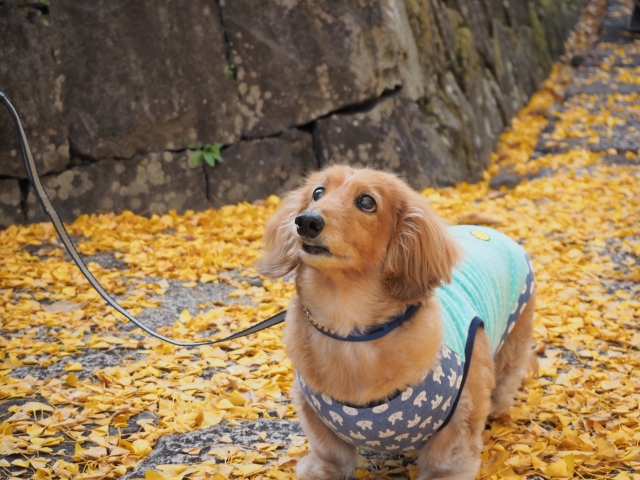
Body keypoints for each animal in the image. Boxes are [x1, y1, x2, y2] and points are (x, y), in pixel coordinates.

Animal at [258, 166, 536, 480]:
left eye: (367, 202)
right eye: (318, 192)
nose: (306, 221)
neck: (352, 333)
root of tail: (488, 232)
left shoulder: (462, 413)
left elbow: (447, 459)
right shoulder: (311, 408)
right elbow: (329, 449)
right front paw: (322, 470)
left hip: (515, 334)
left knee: (507, 375)